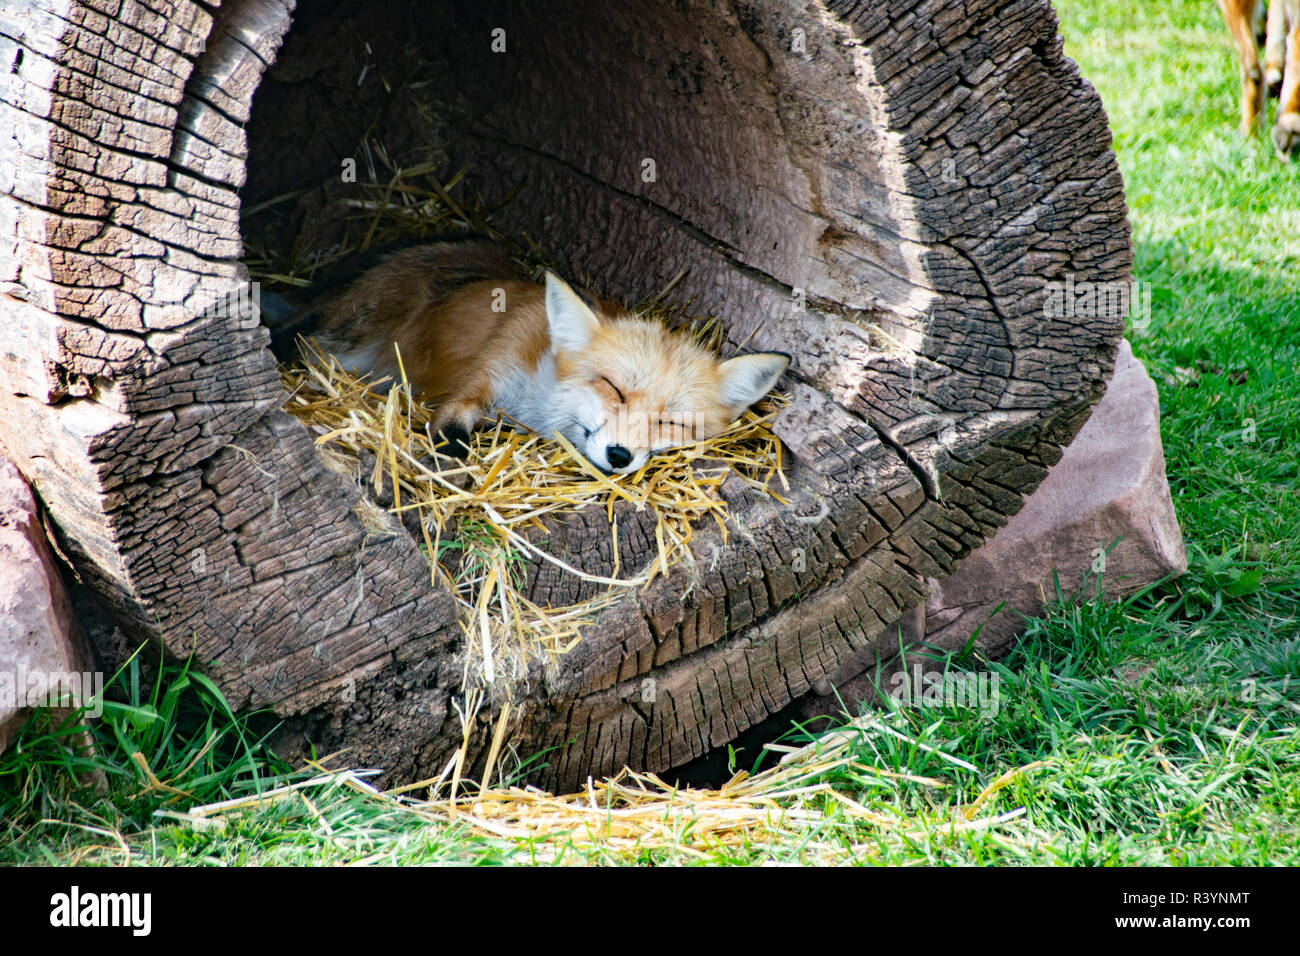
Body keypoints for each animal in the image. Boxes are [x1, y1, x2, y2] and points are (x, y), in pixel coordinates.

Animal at [269, 236, 785, 476]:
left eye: (672, 423)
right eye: (613, 388)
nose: (619, 455)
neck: (535, 401)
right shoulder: (484, 378)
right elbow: (451, 433)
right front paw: (453, 467)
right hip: (341, 342)